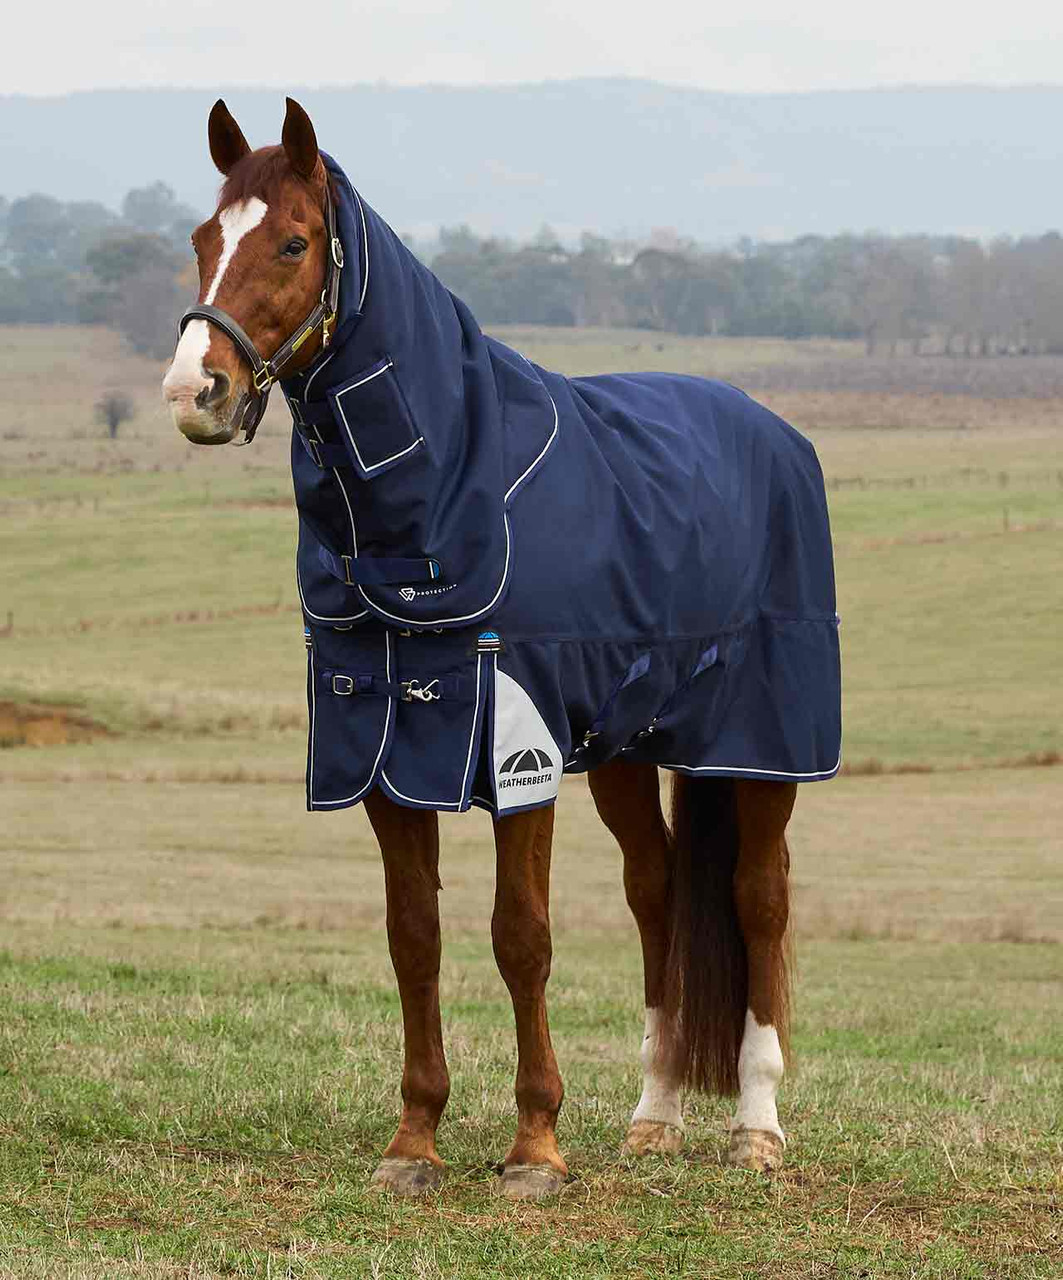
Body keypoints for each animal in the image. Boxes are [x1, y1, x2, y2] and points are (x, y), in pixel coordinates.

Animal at [162, 97, 841, 1200]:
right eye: (200, 241)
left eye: (294, 242)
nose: (194, 392)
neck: (444, 491)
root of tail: (772, 433)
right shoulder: (384, 742)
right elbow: (415, 938)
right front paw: (414, 1141)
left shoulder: (516, 746)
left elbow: (520, 938)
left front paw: (534, 1148)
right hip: (628, 747)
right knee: (657, 894)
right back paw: (653, 1116)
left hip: (758, 747)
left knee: (759, 901)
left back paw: (755, 1127)